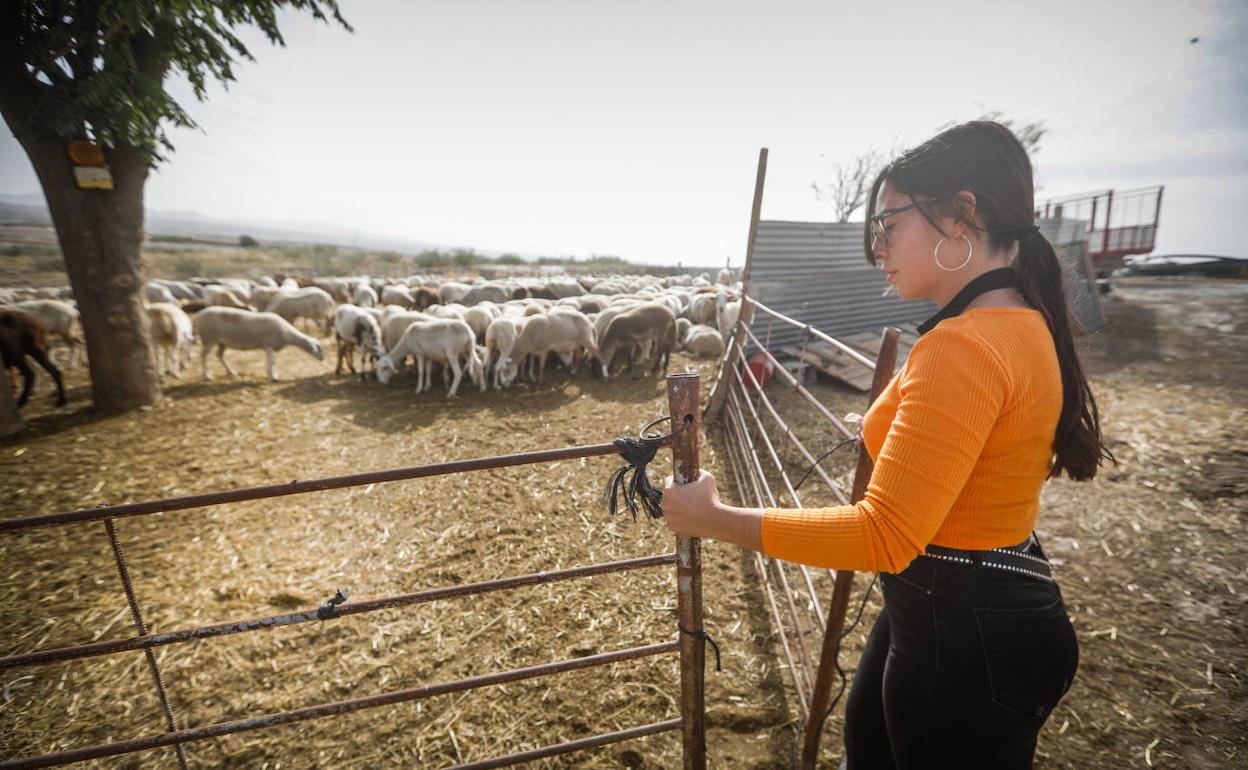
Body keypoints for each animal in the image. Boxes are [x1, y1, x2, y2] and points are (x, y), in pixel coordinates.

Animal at [192, 304, 324, 379]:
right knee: (203, 355)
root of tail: (198, 316)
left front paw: (269, 373)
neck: (287, 334)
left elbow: (268, 361)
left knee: (219, 355)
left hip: (221, 342)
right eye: (318, 348)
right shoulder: (270, 344)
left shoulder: (267, 346)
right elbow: (272, 361)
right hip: (209, 338)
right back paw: (206, 376)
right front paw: (274, 377)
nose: (323, 359)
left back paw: (231, 372)